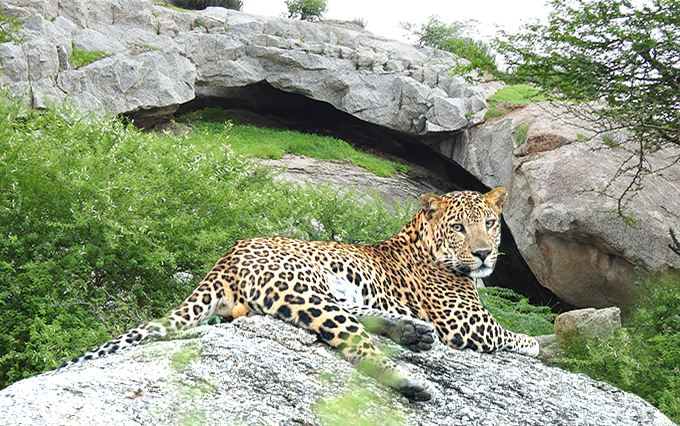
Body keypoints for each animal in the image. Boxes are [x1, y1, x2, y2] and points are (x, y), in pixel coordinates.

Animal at [62, 186, 540, 400]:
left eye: (490, 223)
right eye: (459, 227)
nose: (484, 253)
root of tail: (227, 255)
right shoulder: (467, 324)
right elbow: (511, 334)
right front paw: (536, 343)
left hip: (325, 291)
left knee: (356, 320)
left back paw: (413, 333)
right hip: (305, 288)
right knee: (354, 342)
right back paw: (412, 380)